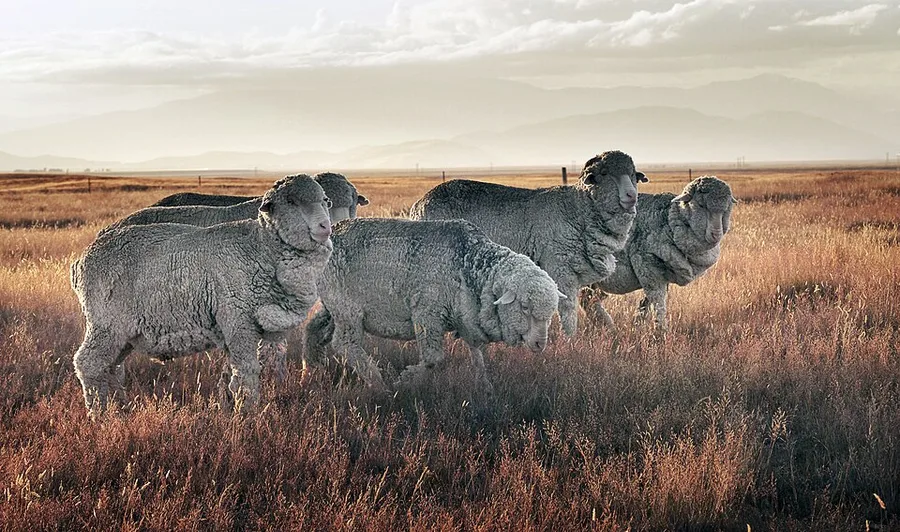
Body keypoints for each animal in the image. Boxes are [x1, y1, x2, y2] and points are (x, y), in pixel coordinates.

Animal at [70, 174, 333, 417]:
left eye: (324, 200)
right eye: (291, 201)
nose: (325, 227)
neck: (260, 248)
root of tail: (82, 259)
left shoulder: (241, 329)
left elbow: (233, 373)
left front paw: (229, 407)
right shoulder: (237, 320)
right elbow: (247, 372)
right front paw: (247, 414)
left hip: (123, 334)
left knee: (111, 367)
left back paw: (119, 408)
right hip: (106, 324)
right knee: (88, 364)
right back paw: (100, 414)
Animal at [304, 218, 565, 393]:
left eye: (550, 313)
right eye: (524, 307)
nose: (540, 344)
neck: (468, 263)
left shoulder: (466, 317)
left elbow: (478, 355)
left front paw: (486, 388)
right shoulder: (427, 314)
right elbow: (433, 359)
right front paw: (406, 380)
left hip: (332, 305)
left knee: (313, 329)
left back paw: (310, 369)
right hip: (346, 306)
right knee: (345, 343)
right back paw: (378, 384)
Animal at [409, 150, 647, 336]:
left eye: (633, 175)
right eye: (604, 174)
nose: (631, 196)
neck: (576, 208)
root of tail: (417, 205)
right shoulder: (559, 268)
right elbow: (568, 310)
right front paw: (571, 341)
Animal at [584, 176, 737, 330]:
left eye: (727, 207)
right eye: (700, 205)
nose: (716, 234)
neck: (669, 222)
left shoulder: (661, 274)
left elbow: (647, 303)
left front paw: (638, 323)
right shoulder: (646, 265)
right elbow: (658, 301)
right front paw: (661, 330)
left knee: (587, 299)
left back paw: (606, 325)